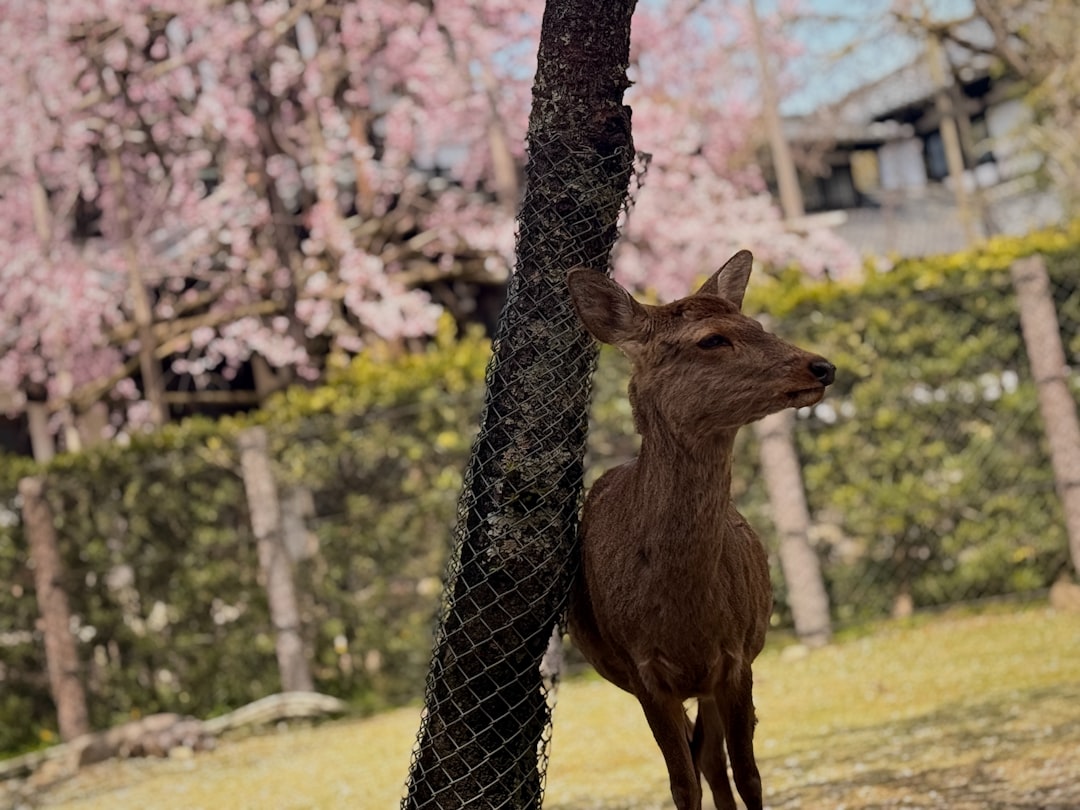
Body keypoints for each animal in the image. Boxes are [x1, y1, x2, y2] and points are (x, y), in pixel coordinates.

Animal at [565, 250, 835, 810]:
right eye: (712, 339)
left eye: (757, 325)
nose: (822, 365)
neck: (682, 614)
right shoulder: (644, 672)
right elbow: (681, 784)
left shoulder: (736, 658)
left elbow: (750, 774)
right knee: (703, 760)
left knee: (714, 759)